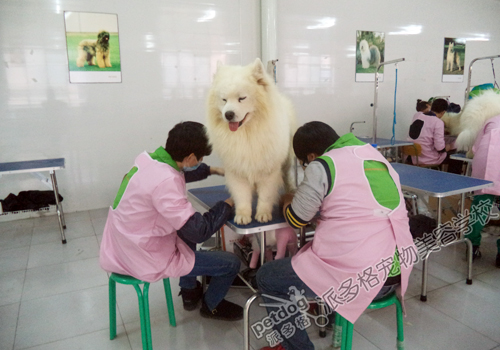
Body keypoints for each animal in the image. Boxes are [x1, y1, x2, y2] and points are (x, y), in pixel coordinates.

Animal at [204, 58, 294, 226]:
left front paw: (263, 214)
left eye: (242, 98)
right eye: (224, 100)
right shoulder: (237, 170)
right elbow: (242, 196)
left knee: (287, 177)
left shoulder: (269, 171)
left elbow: (266, 195)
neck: (246, 134)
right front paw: (242, 216)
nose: (228, 114)